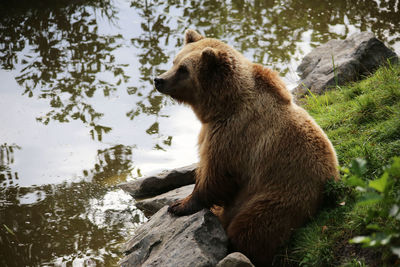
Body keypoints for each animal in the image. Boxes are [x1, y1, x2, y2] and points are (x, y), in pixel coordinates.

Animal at [153, 29, 338, 266]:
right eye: (175, 61)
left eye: (184, 69)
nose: (159, 79)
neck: (222, 105)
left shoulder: (233, 134)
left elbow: (216, 174)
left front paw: (179, 205)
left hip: (274, 199)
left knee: (251, 229)